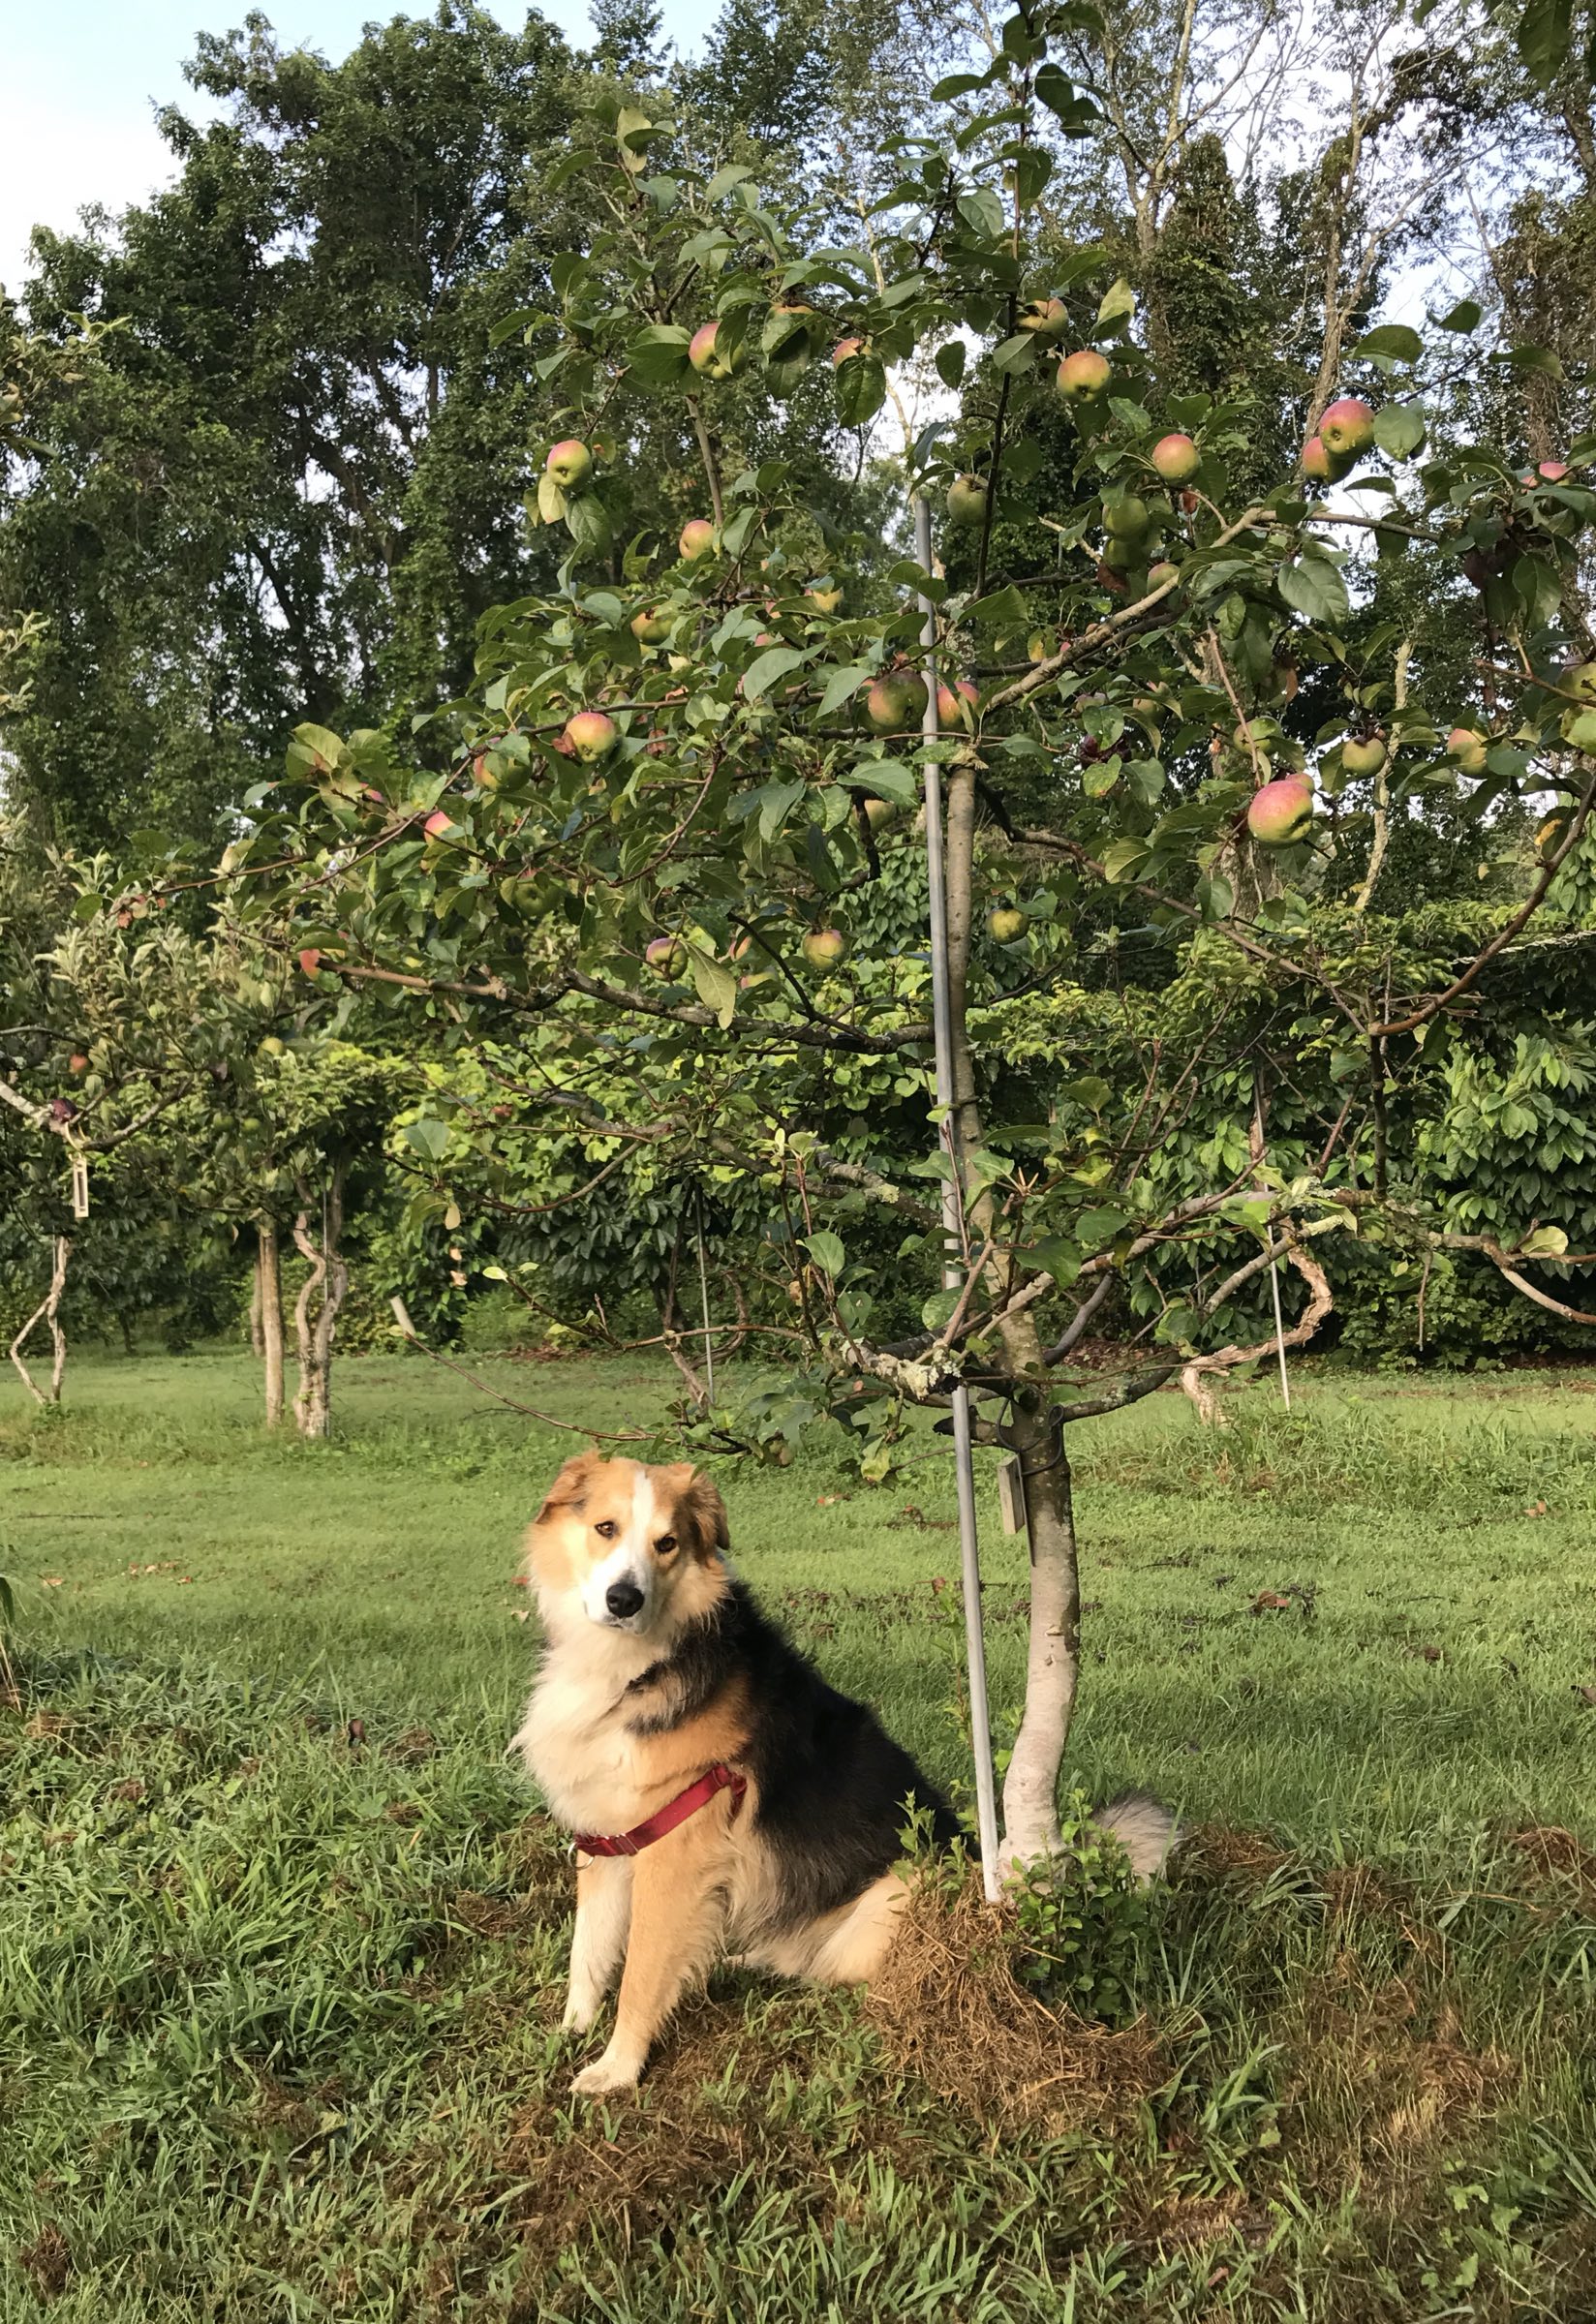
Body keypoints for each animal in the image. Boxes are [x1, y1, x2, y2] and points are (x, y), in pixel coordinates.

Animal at [517, 1450, 1180, 2092]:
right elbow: (589, 1950)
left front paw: (617, 2069)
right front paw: (570, 2030)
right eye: (605, 1528)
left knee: (827, 1970)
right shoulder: (610, 1835)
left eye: (668, 1543)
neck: (639, 1664)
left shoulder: (677, 1848)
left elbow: (643, 1968)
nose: (623, 1601)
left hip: (899, 1890)